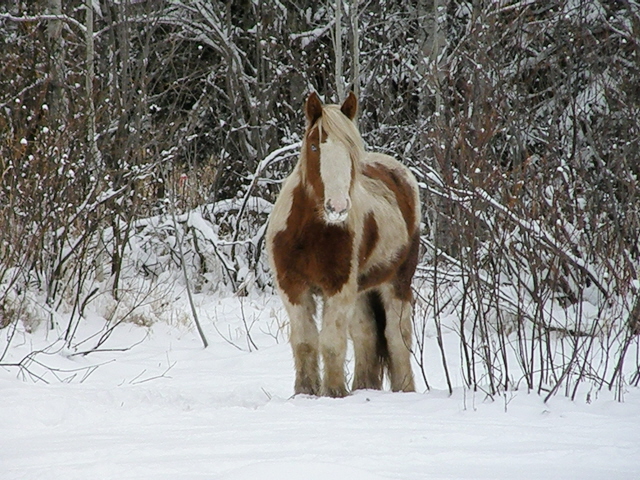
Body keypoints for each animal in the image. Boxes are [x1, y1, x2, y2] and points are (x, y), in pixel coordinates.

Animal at [264, 91, 420, 398]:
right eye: (314, 147)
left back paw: (404, 390)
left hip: (398, 281)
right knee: (366, 334)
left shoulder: (337, 287)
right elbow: (305, 342)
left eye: (350, 149)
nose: (337, 206)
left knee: (397, 337)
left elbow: (331, 342)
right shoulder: (292, 288)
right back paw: (364, 387)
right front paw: (305, 392)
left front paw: (334, 393)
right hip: (361, 290)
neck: (309, 234)